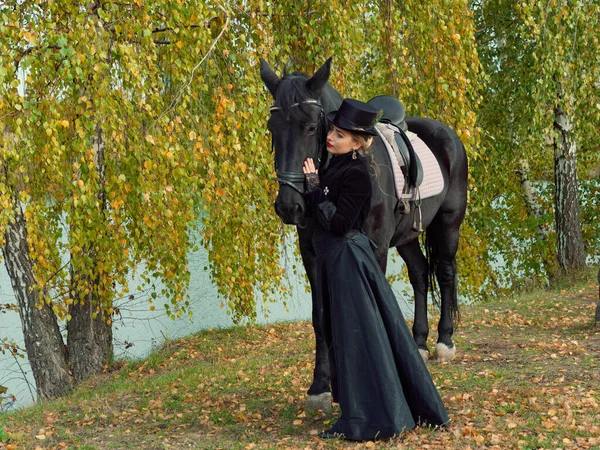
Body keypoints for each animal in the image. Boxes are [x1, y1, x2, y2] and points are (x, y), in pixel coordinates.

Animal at [258, 58, 468, 410]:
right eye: (272, 128)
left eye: (310, 127)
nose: (288, 206)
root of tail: (448, 134)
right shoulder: (311, 254)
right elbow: (320, 316)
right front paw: (320, 386)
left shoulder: (377, 246)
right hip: (407, 237)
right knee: (420, 274)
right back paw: (419, 343)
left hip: (448, 223)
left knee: (445, 273)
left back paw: (444, 342)